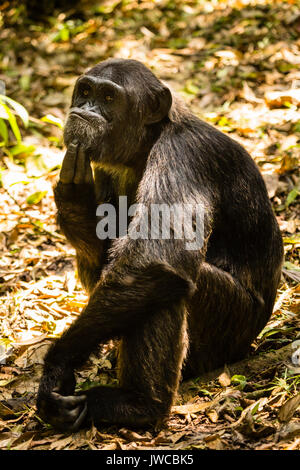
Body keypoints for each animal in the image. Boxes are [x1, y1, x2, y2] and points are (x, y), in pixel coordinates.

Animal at [36, 57, 282, 430]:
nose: (86, 108)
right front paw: (75, 200)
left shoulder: (183, 159)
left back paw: (139, 405)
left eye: (109, 97)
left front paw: (56, 367)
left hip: (230, 330)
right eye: (86, 90)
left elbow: (155, 259)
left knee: (164, 284)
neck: (146, 144)